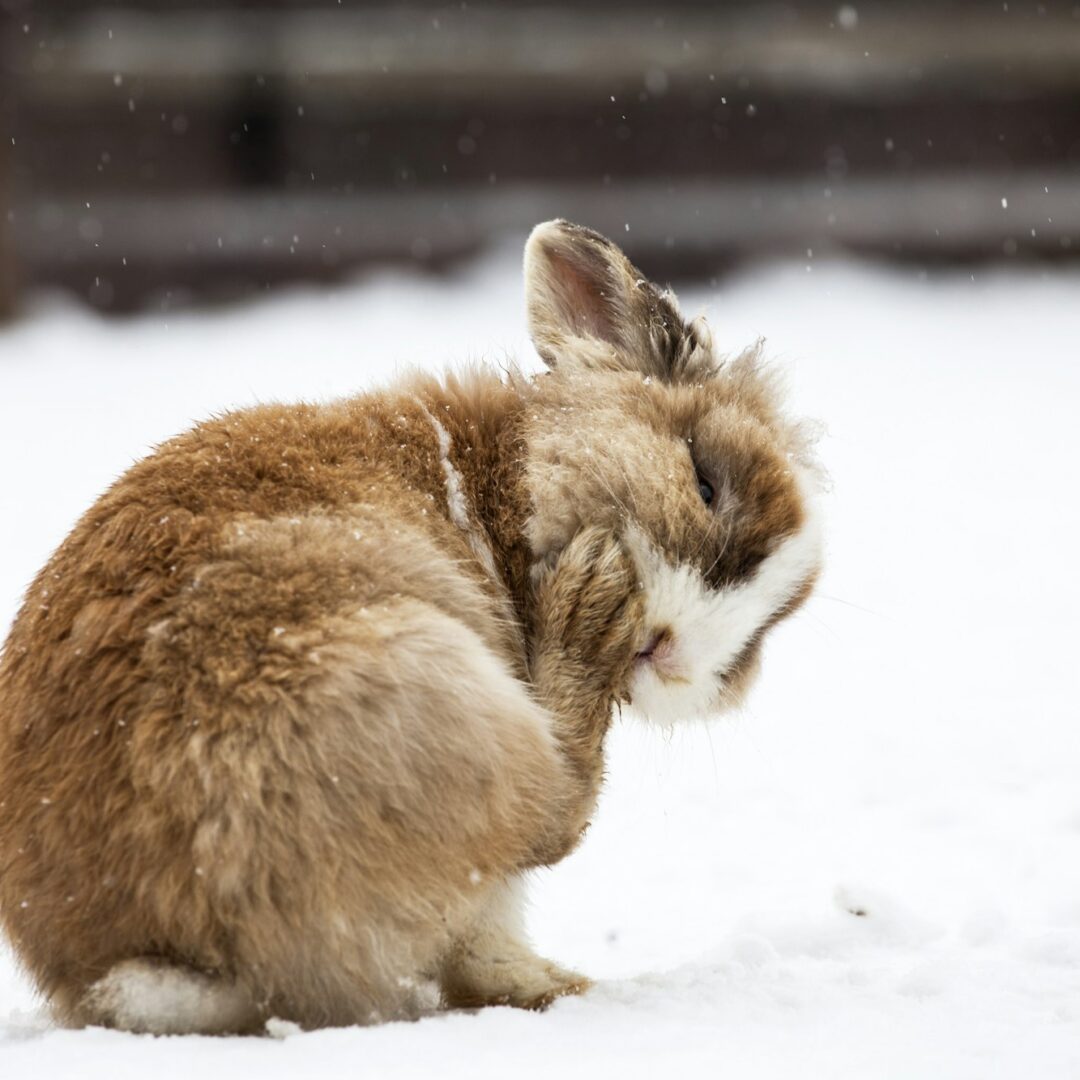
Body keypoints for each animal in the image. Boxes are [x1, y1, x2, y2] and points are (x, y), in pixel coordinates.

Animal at [0, 221, 816, 1036]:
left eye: (768, 629)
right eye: (704, 482)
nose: (676, 652)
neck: (504, 487)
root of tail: (146, 961)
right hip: (446, 691)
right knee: (552, 818)